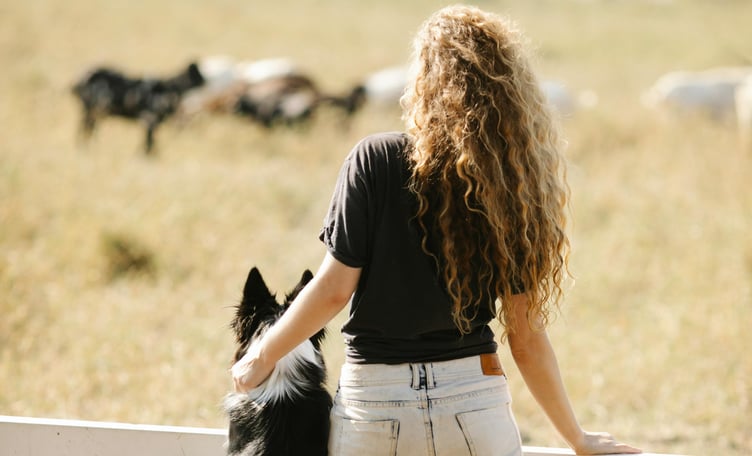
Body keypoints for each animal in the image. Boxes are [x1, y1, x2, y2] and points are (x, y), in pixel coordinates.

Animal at [72, 61, 204, 154]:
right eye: (198, 75)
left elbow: (150, 144)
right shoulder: (149, 119)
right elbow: (149, 144)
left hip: (94, 114)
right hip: (90, 112)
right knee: (84, 131)